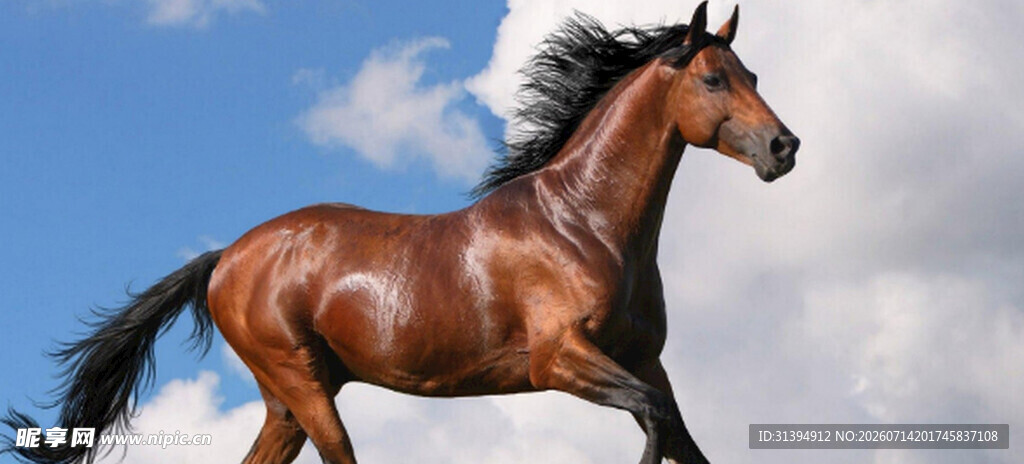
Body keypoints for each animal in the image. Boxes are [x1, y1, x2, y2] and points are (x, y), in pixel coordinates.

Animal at [2, 3, 799, 463]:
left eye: (754, 73)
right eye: (714, 80)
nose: (783, 147)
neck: (583, 223)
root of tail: (226, 257)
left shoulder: (646, 362)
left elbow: (680, 437)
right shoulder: (557, 361)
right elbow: (655, 423)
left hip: (288, 402)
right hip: (304, 386)